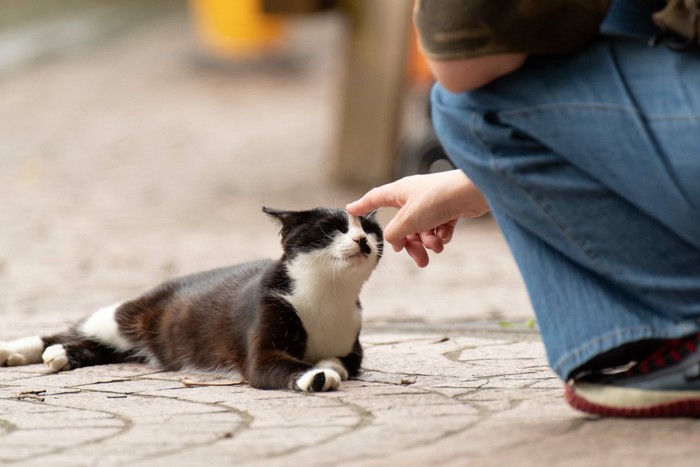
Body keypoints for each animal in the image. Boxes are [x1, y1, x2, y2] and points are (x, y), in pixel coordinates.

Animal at [0, 207, 382, 394]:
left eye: (371, 229)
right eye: (331, 229)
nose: (363, 240)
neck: (326, 294)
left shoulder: (354, 346)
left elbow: (344, 361)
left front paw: (328, 367)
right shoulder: (263, 334)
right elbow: (277, 365)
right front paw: (315, 376)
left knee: (110, 348)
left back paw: (63, 355)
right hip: (128, 314)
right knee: (74, 329)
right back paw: (16, 350)